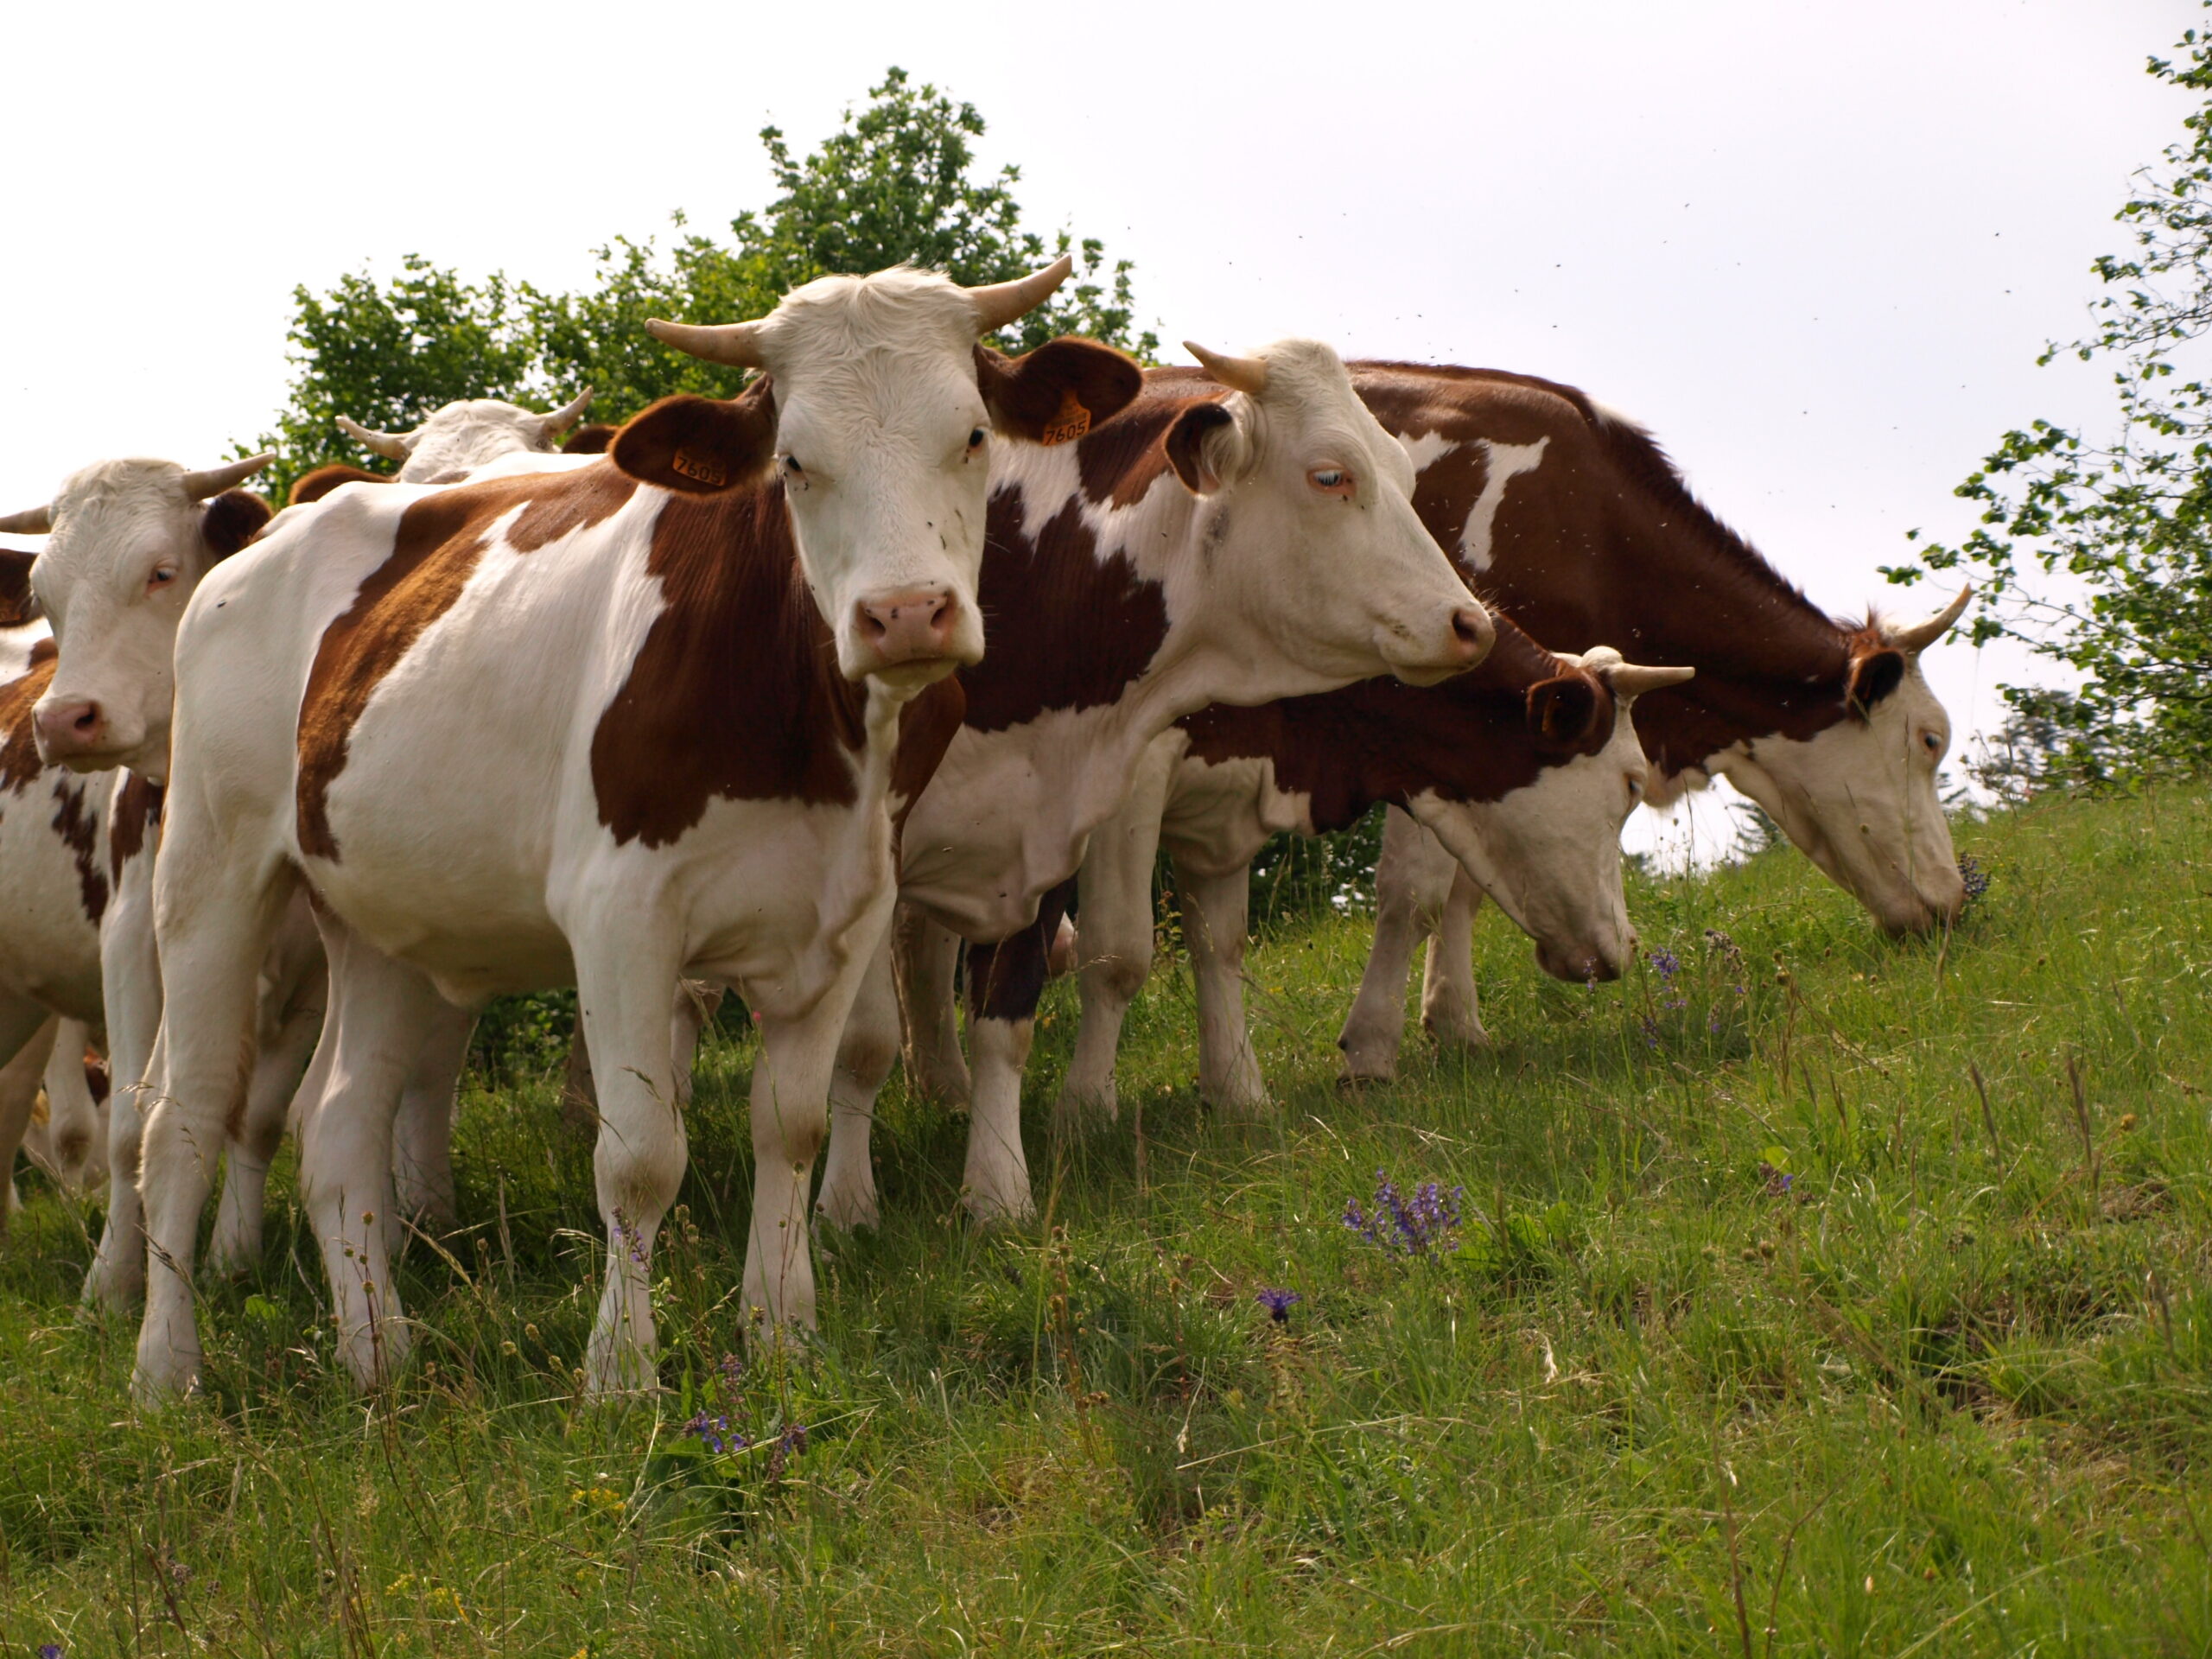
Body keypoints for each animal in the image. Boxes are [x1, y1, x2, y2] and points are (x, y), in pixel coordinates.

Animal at [129, 258, 1146, 1400]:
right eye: (793, 461)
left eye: (972, 434)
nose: (905, 616)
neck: (806, 728)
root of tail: (267, 540)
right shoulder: (621, 921)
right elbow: (640, 1157)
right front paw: (621, 1373)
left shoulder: (844, 913)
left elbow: (789, 1130)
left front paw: (783, 1335)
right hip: (210, 871)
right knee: (183, 1115)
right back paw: (166, 1370)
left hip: (379, 914)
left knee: (341, 1123)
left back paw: (378, 1353)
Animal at [809, 341, 1496, 1231]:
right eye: (1330, 476)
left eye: (1407, 476)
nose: (1471, 624)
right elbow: (861, 1039)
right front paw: (845, 1210)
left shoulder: (1045, 835)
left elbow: (1013, 1006)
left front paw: (996, 1190)